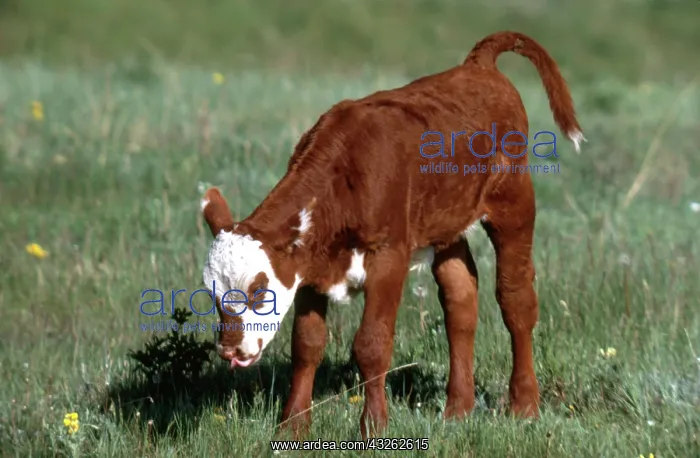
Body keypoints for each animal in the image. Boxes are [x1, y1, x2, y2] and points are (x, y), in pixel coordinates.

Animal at [199, 30, 584, 438]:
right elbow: (306, 343)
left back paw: (524, 405)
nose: (229, 350)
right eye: (211, 292)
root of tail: (478, 66)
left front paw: (373, 427)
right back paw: (457, 410)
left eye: (259, 291)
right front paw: (291, 427)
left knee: (516, 298)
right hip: (445, 224)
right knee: (461, 300)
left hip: (513, 200)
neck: (344, 180)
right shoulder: (309, 266)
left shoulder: (389, 256)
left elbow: (371, 344)